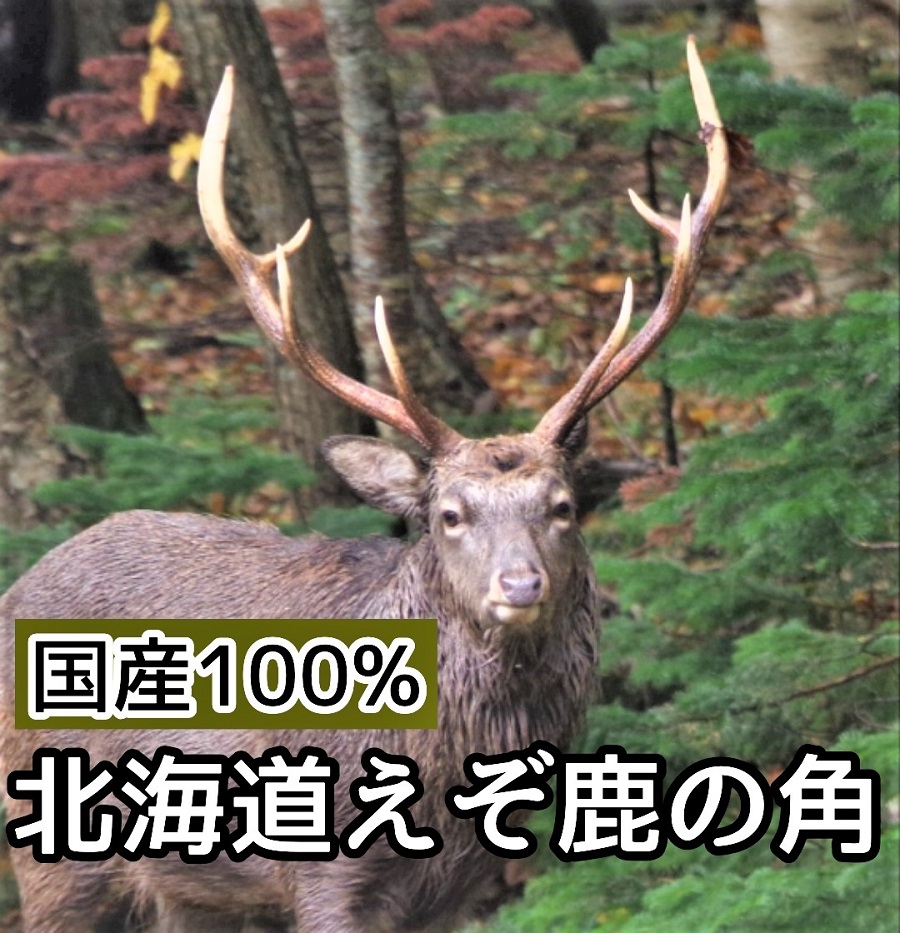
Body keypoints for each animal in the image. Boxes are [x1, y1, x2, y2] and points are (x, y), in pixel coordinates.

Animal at [0, 37, 728, 933]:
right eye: (449, 514)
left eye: (562, 507)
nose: (521, 583)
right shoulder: (324, 876)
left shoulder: (459, 889)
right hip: (52, 843)